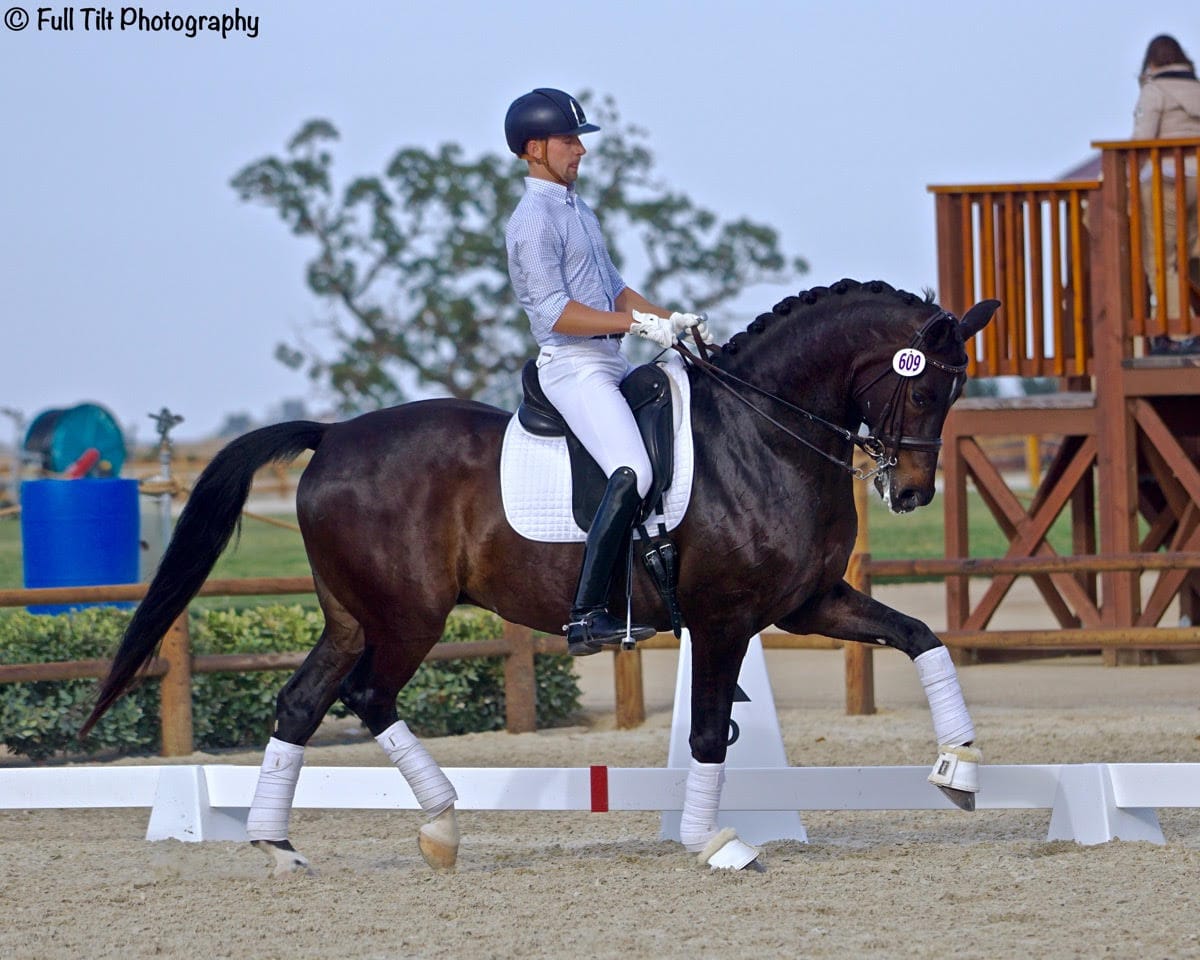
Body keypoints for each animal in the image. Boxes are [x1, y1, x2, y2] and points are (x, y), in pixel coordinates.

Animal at [82, 278, 998, 874]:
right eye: (925, 391)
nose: (910, 494)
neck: (763, 432)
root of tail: (333, 436)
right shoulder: (726, 620)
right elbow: (708, 733)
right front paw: (715, 842)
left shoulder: (808, 603)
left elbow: (921, 636)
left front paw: (958, 770)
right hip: (409, 616)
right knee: (368, 695)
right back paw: (441, 827)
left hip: (351, 615)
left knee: (302, 702)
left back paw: (280, 846)